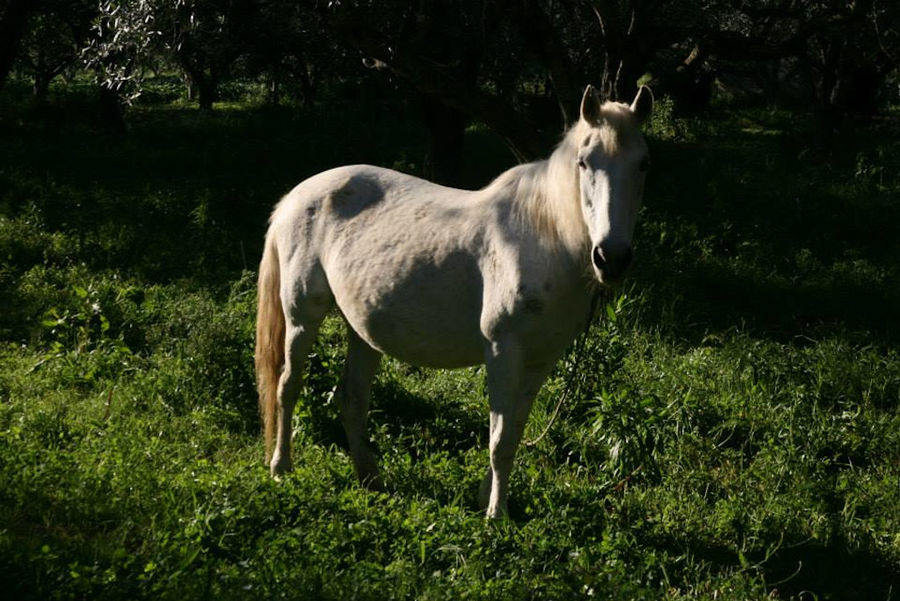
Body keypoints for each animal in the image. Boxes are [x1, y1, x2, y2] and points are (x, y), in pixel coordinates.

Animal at [256, 84, 652, 516]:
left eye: (643, 165)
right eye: (583, 162)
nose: (611, 257)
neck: (543, 238)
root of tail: (295, 196)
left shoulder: (540, 360)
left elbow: (513, 432)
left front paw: (486, 501)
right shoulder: (502, 351)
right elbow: (498, 440)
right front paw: (496, 516)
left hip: (361, 331)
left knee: (353, 398)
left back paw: (370, 478)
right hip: (302, 316)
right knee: (287, 385)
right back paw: (281, 468)